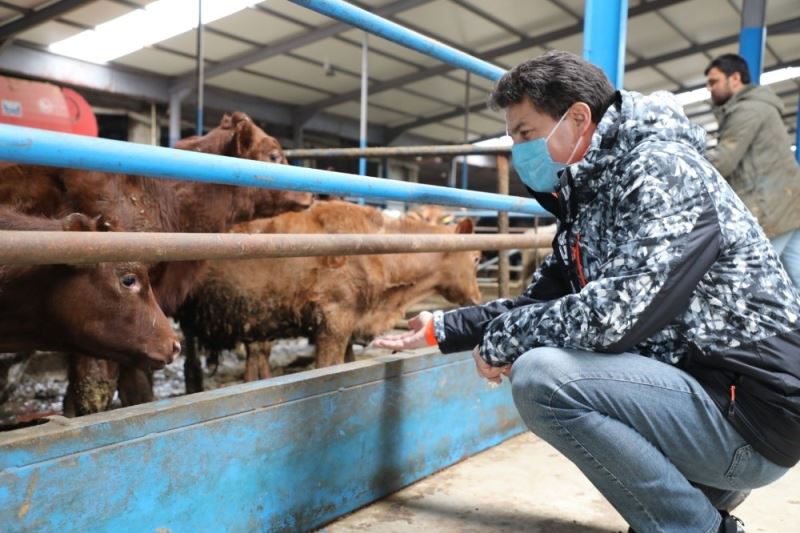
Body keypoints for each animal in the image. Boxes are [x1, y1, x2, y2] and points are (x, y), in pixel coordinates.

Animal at [177, 201, 482, 390]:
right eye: (477, 257)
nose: (478, 298)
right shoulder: (333, 320)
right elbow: (329, 368)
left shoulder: (349, 324)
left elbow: (349, 363)